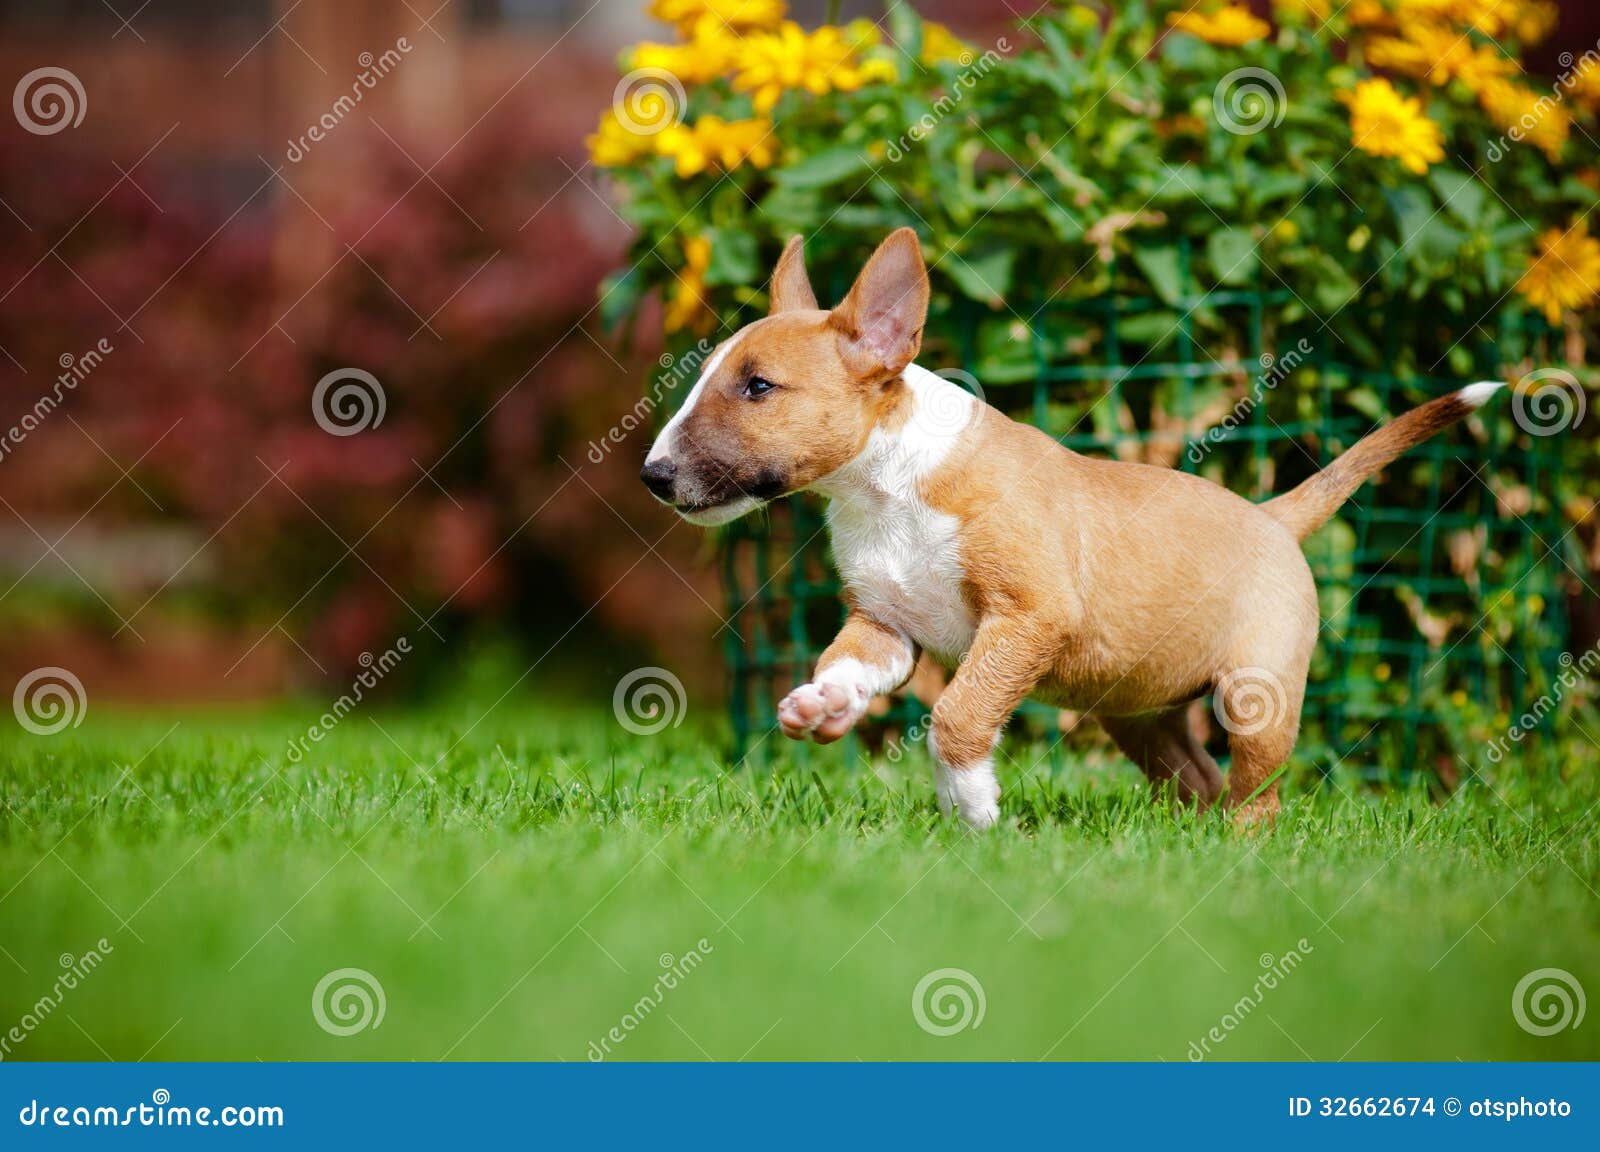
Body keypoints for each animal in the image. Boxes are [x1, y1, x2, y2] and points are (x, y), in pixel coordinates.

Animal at [640, 228, 1497, 825]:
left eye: (758, 387)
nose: (654, 476)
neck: (889, 488)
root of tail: (1272, 516)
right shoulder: (885, 622)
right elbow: (851, 664)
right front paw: (823, 706)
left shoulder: (1028, 615)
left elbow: (958, 714)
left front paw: (974, 809)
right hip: (1140, 713)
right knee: (1198, 779)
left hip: (1258, 694)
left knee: (1259, 791)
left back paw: (1242, 848)